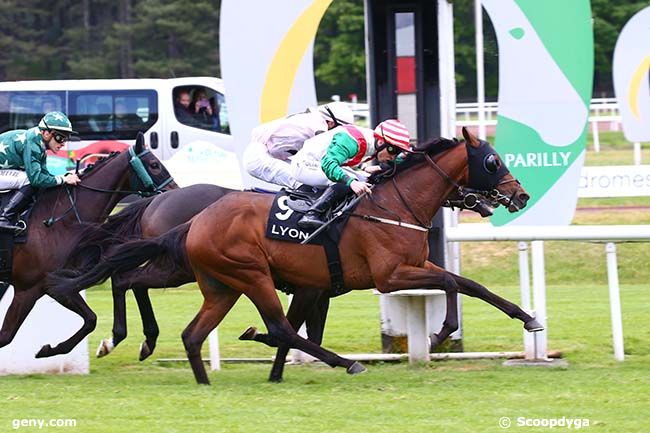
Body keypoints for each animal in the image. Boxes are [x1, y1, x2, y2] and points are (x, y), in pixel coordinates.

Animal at [0, 132, 175, 358]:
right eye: (154, 165)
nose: (175, 190)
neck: (56, 220)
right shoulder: (28, 288)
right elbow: (5, 336)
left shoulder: (54, 284)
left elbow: (91, 319)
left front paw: (49, 349)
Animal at [49, 126, 536, 384]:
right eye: (492, 161)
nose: (521, 195)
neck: (393, 205)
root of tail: (194, 218)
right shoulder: (390, 275)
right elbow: (452, 282)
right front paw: (442, 332)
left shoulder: (378, 273)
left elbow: (470, 284)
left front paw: (527, 317)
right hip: (241, 274)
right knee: (272, 324)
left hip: (216, 281)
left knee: (167, 309)